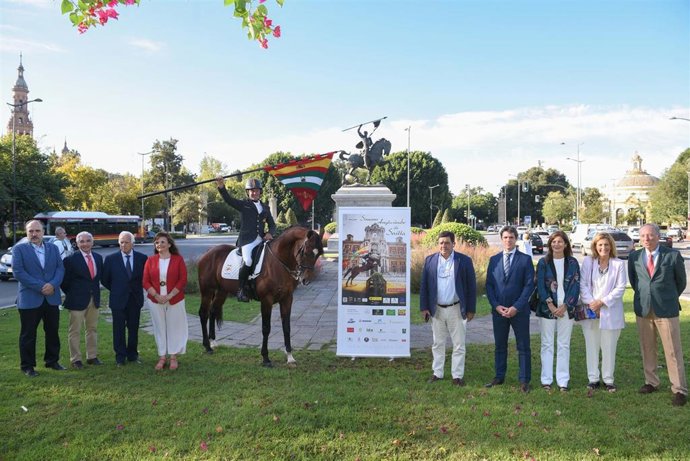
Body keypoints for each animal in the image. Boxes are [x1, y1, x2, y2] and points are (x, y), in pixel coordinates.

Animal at [197, 226, 324, 367]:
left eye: (319, 254)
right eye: (305, 252)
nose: (306, 280)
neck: (278, 262)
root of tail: (208, 252)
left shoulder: (287, 299)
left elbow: (287, 327)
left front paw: (290, 357)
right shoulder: (266, 300)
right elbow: (266, 328)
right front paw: (266, 358)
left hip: (221, 292)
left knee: (213, 311)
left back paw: (213, 342)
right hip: (207, 291)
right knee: (203, 313)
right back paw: (207, 346)